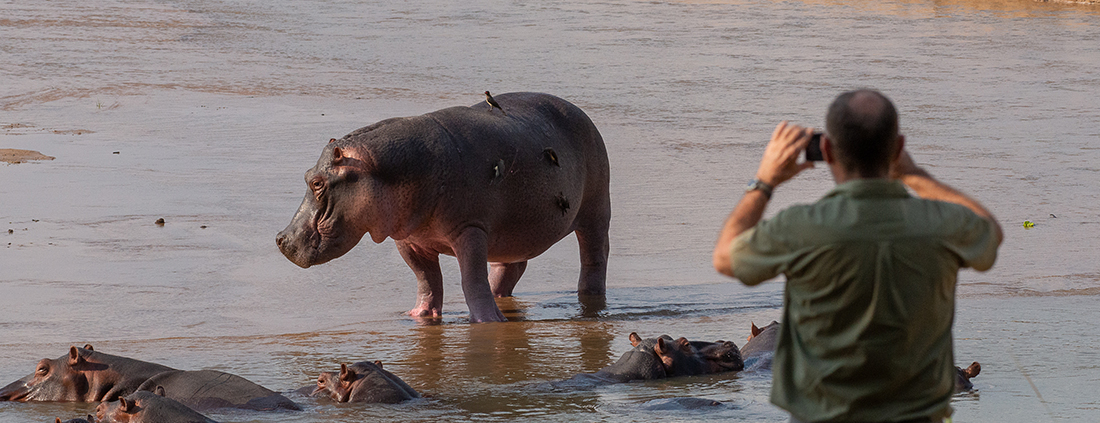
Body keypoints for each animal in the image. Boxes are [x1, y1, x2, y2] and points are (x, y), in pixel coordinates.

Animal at [277, 90, 611, 320]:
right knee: (510, 266)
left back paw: (590, 299)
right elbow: (426, 280)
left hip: (596, 211)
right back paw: (501, 297)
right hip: (512, 234)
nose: (281, 239)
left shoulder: (471, 230)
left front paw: (488, 322)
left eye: (317, 183)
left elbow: (470, 279)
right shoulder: (408, 239)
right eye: (307, 175)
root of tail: (579, 110)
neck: (383, 168)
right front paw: (419, 316)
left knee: (594, 257)